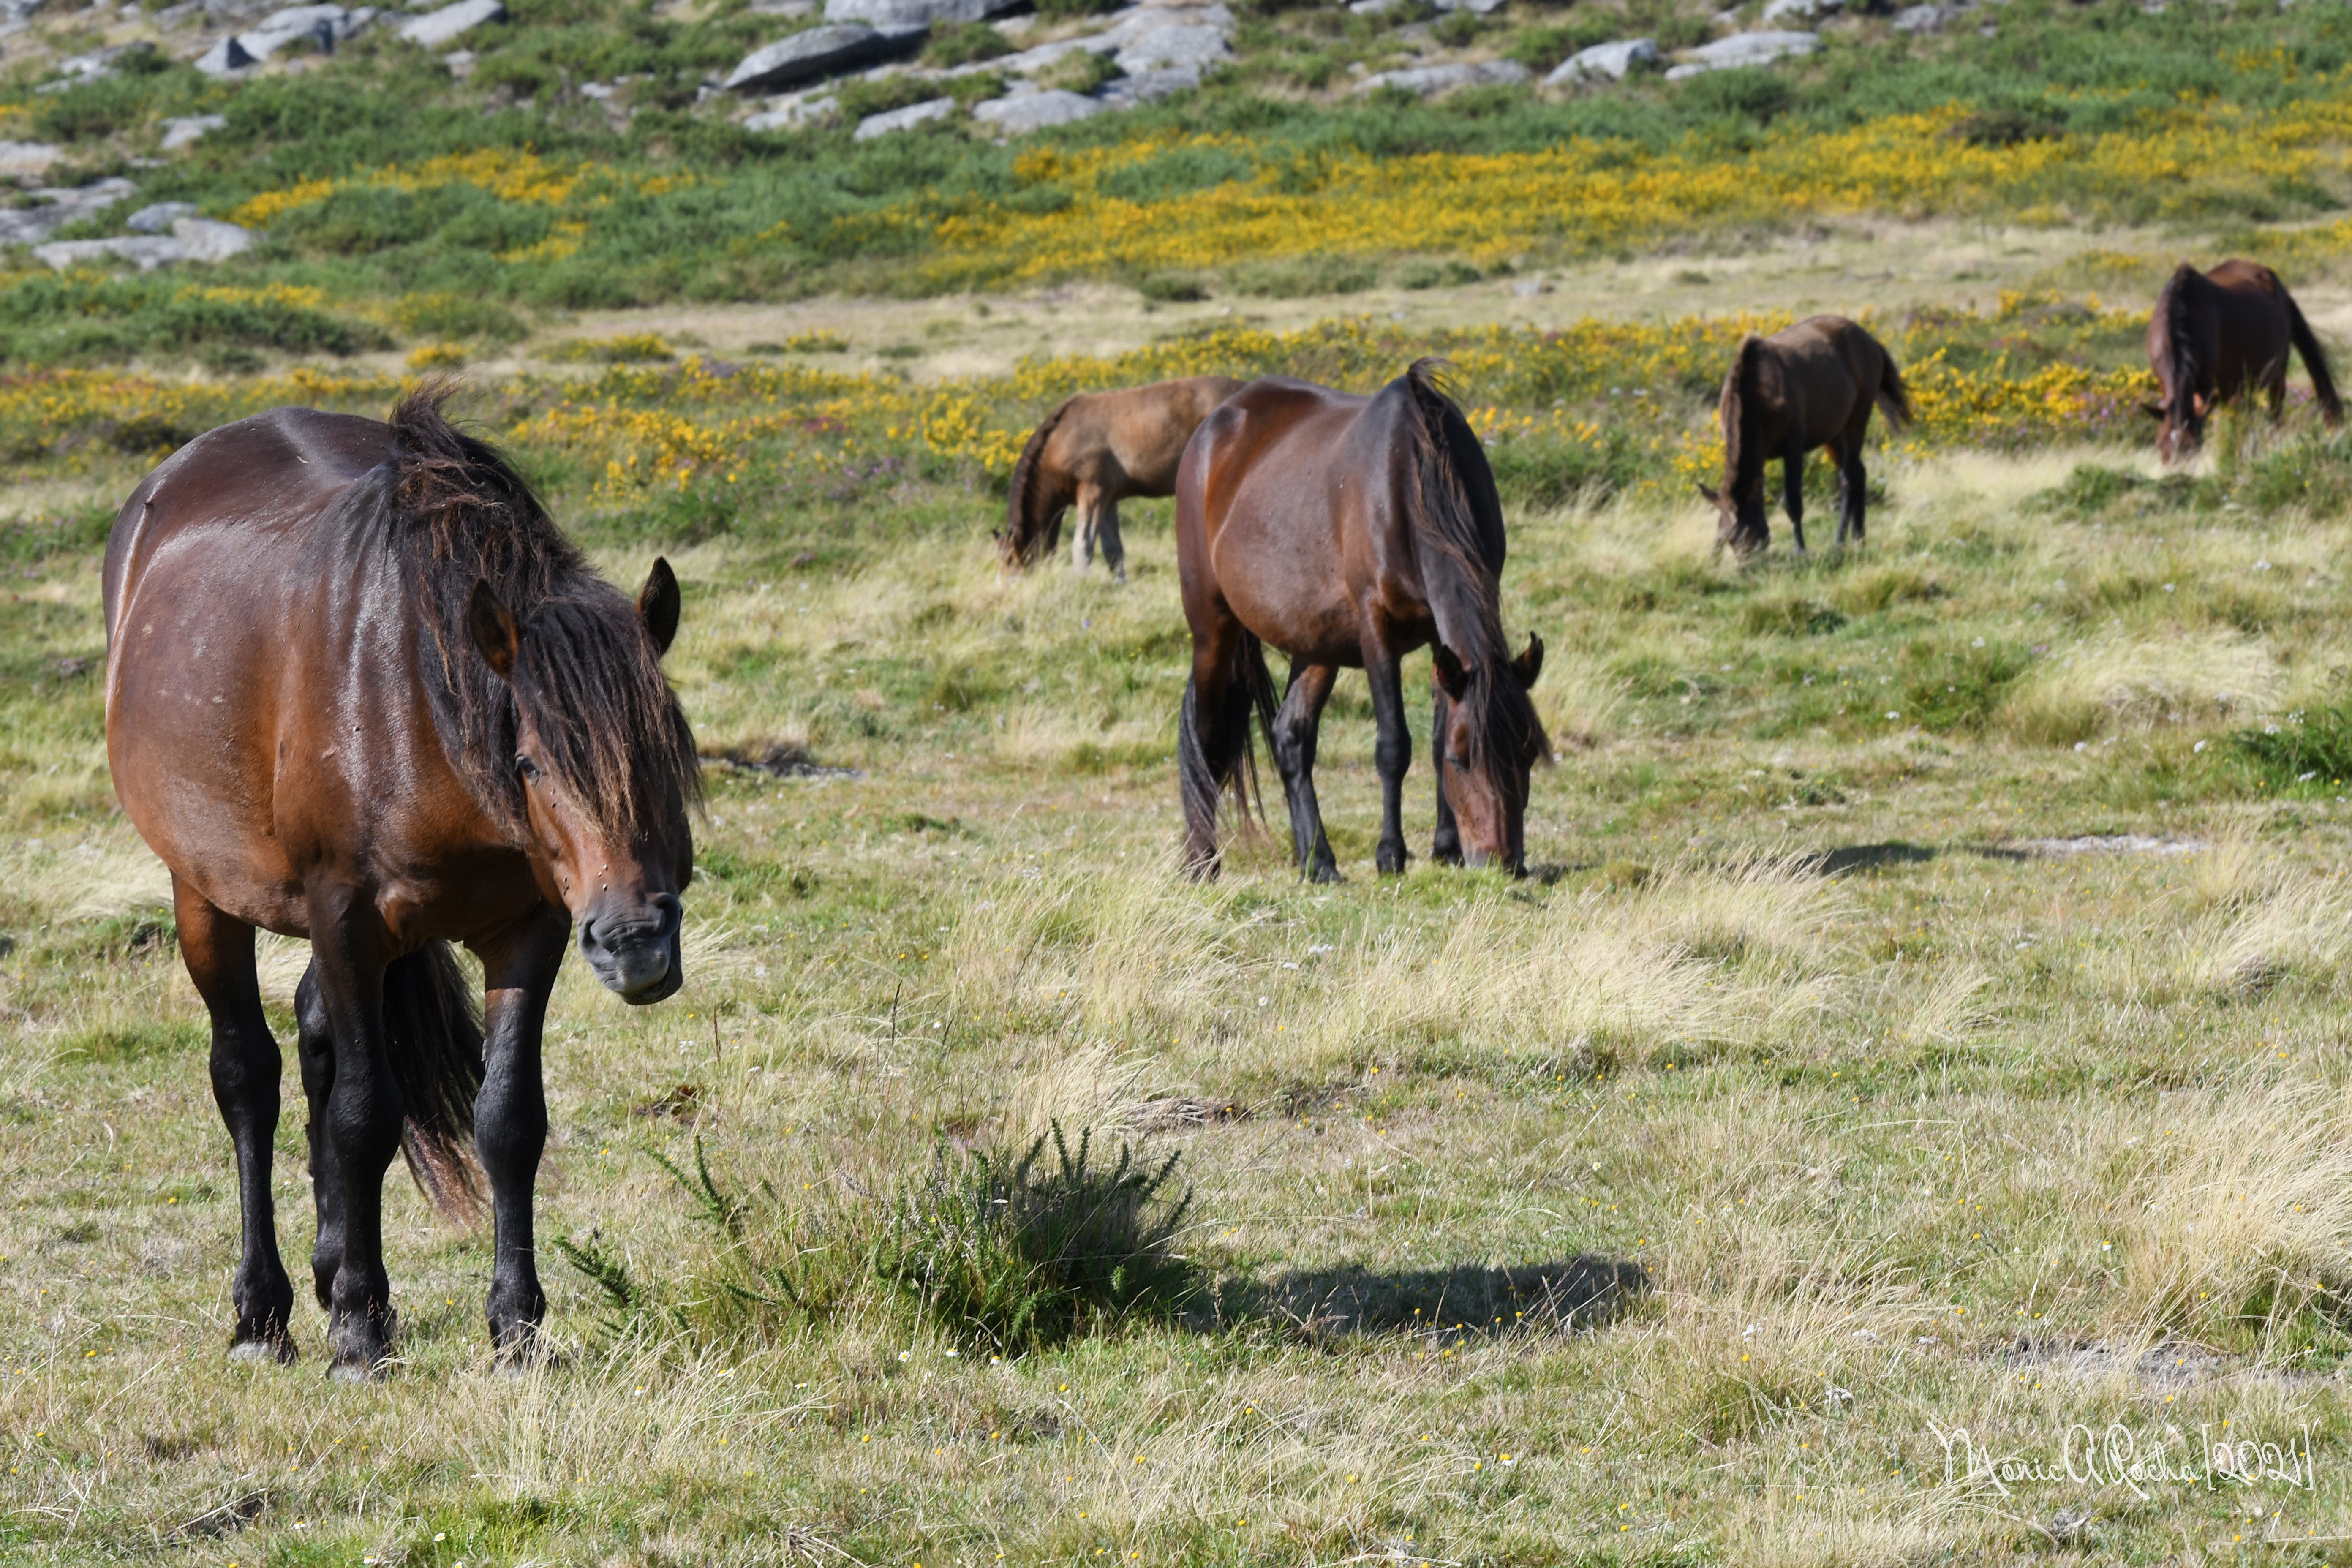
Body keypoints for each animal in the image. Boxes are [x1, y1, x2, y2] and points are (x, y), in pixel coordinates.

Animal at [108, 395, 696, 1382]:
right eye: (531, 763)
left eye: (670, 749)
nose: (636, 946)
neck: (413, 702)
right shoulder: (346, 917)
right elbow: (363, 1114)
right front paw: (358, 1331)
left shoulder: (528, 929)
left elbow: (508, 1119)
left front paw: (516, 1327)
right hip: (204, 892)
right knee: (247, 1074)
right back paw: (264, 1314)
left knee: (315, 1039)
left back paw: (327, 1267)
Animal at [997, 373, 1251, 583]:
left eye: (1010, 560)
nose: (1005, 587)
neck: (1063, 437)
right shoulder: (1108, 498)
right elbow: (1113, 550)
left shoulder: (1093, 492)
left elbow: (1083, 545)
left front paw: (1082, 586)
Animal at [1171, 362, 1543, 888]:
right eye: (1463, 759)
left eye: (1528, 755)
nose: (1503, 861)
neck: (1415, 480)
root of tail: (1210, 432)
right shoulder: (1376, 627)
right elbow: (1395, 745)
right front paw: (1391, 854)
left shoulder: (1440, 639)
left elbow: (1432, 738)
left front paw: (1446, 848)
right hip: (1212, 628)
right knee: (1207, 739)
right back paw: (1202, 859)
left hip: (1315, 645)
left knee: (1290, 737)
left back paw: (1317, 861)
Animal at [1712, 315, 1910, 555]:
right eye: (1730, 540)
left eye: (1749, 535)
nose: (1748, 563)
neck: (1758, 390)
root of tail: (1870, 340)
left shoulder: (1793, 446)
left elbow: (1792, 501)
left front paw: (1800, 549)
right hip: (1834, 435)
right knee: (1859, 473)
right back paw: (1859, 537)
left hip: (1857, 420)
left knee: (1848, 478)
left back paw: (1840, 540)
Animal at [2154, 257, 2333, 463]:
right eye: (2159, 444)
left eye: (2192, 446)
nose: (2176, 468)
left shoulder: (2206, 386)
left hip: (2276, 374)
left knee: (2275, 409)